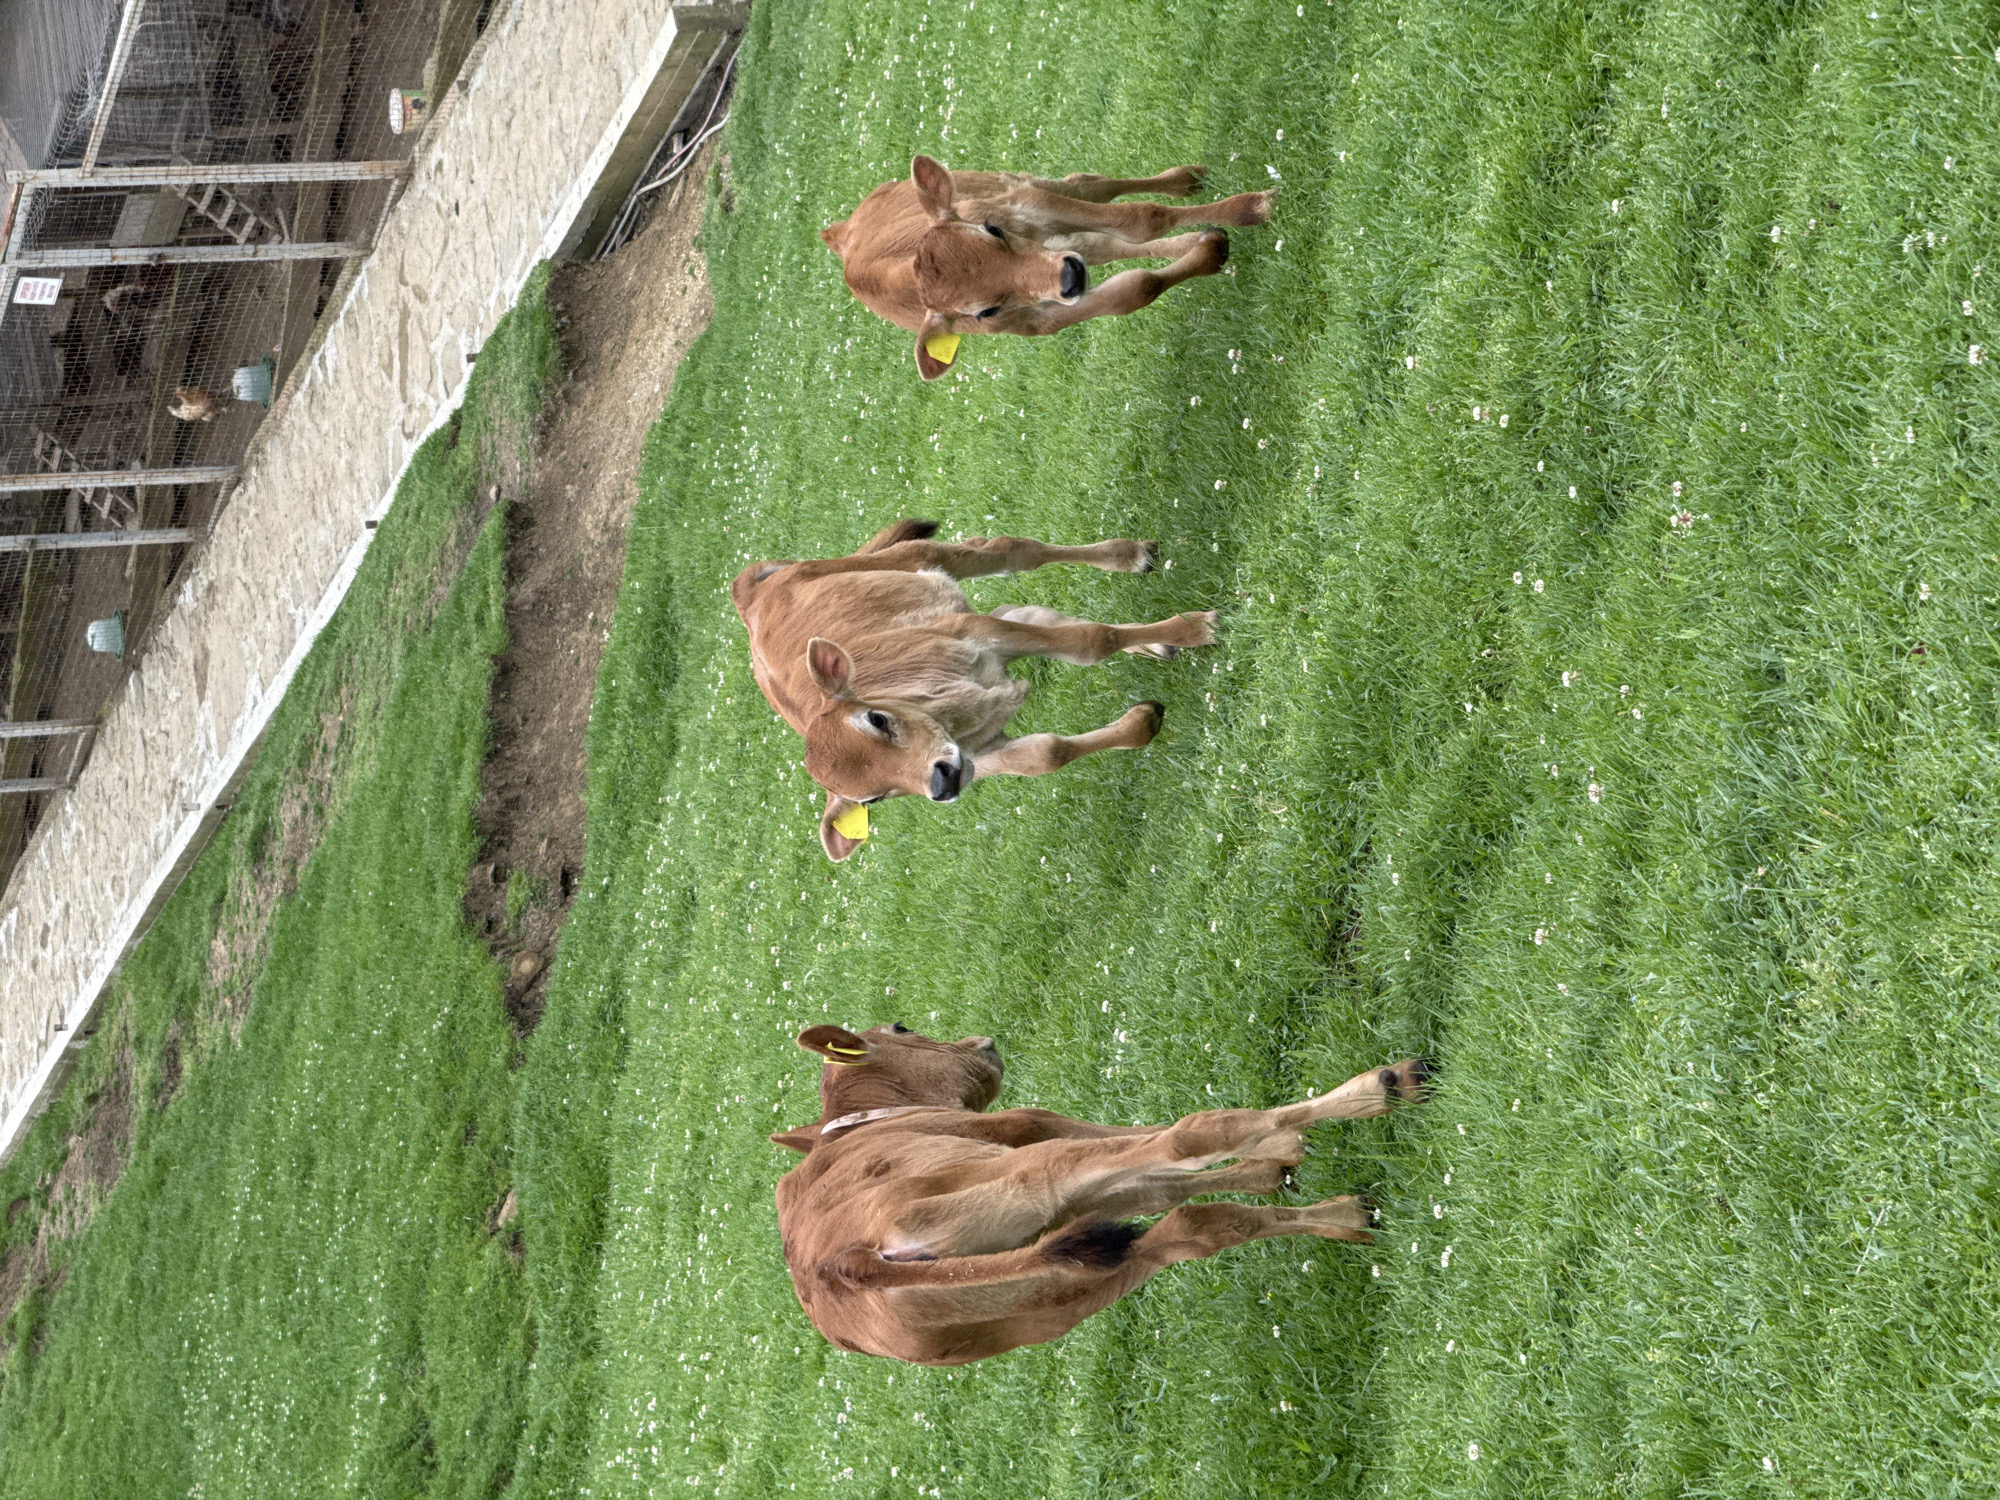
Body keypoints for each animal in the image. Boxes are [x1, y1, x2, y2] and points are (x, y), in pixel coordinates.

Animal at [731, 519, 1216, 861]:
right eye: (871, 798)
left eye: (876, 718)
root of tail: (747, 594)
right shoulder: (978, 751)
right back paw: (1155, 643)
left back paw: (1132, 557)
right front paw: (1144, 719)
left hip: (922, 556)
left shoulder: (979, 633)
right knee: (1027, 605)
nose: (941, 782)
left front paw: (1195, 628)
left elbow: (1092, 640)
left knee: (1009, 550)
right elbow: (1045, 754)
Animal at [770, 1023, 1428, 1365]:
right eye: (902, 1028)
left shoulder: (1076, 1207)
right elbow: (1157, 1149)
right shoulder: (1030, 1130)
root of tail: (845, 1265)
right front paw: (1282, 1146)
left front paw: (1274, 1162)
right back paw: (1381, 1088)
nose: (983, 1043)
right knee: (1192, 1136)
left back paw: (1344, 1216)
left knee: (1188, 1229)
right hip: (1040, 1186)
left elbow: (1160, 1182)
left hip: (1050, 1299)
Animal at [821, 155, 1276, 379]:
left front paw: (1250, 208)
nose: (1069, 277)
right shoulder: (1038, 320)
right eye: (985, 312)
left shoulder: (1032, 205)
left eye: (993, 229)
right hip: (1069, 243)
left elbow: (1140, 217)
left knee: (1091, 185)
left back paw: (1186, 180)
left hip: (1019, 186)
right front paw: (1211, 247)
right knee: (1112, 245)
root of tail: (837, 232)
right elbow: (1134, 289)